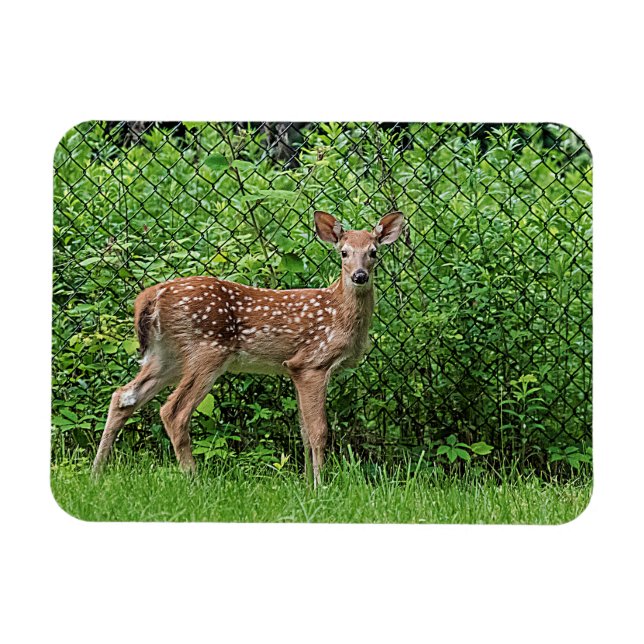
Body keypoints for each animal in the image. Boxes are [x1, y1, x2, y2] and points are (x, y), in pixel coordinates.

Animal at [92, 210, 405, 486]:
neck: (338, 313)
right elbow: (319, 431)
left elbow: (303, 431)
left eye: (373, 252)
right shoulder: (313, 362)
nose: (360, 276)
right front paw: (320, 486)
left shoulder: (293, 368)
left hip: (167, 356)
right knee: (173, 411)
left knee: (123, 396)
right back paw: (194, 479)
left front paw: (305, 484)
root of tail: (151, 296)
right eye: (344, 253)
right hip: (207, 350)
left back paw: (97, 472)